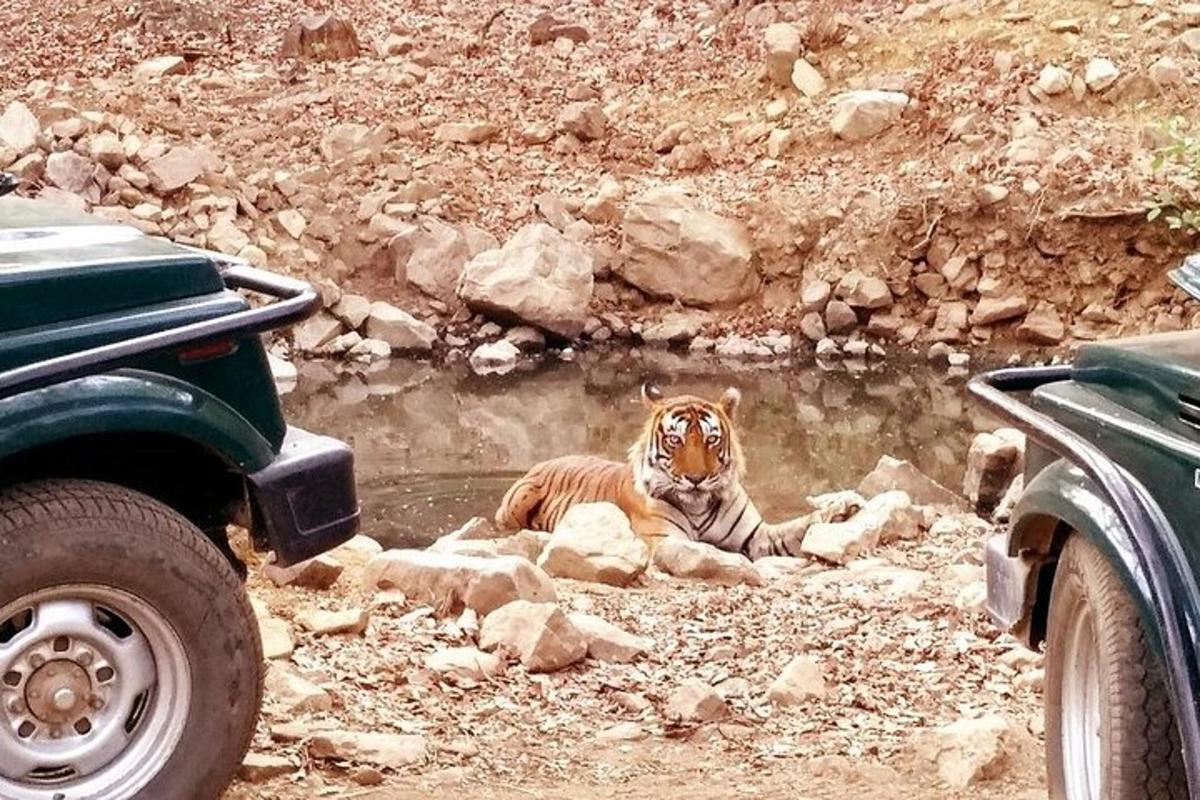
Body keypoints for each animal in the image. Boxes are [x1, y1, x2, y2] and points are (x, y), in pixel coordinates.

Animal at [492, 383, 811, 561]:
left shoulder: (756, 535)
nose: (696, 479)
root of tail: (539, 463)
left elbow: (791, 532)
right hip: (520, 498)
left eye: (711, 439)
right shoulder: (667, 541)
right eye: (675, 439)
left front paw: (818, 519)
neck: (697, 507)